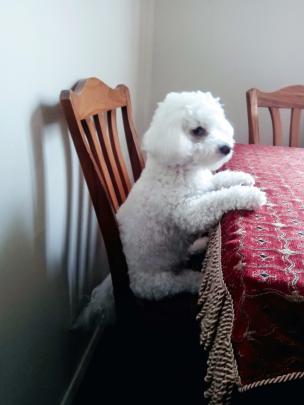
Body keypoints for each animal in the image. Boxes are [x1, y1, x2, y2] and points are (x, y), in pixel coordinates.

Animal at [76, 90, 266, 326]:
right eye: (198, 130)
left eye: (217, 124)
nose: (226, 148)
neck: (180, 168)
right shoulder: (189, 212)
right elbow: (218, 198)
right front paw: (250, 195)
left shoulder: (204, 186)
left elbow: (220, 180)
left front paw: (242, 177)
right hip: (159, 283)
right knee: (183, 281)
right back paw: (198, 279)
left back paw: (199, 244)